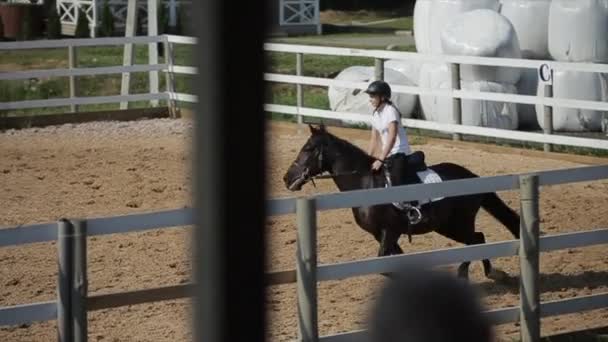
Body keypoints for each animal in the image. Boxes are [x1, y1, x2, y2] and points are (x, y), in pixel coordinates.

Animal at [284, 124, 516, 280]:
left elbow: (385, 266)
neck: (365, 185)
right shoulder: (381, 234)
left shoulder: (390, 231)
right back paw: (491, 273)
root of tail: (473, 176)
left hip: (457, 223)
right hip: (447, 226)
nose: (287, 178)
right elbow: (395, 260)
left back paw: (467, 273)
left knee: (475, 240)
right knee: (478, 239)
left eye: (307, 149)